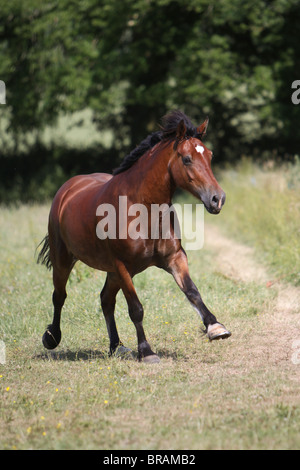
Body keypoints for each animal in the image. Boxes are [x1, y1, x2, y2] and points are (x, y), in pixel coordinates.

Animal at [37, 111, 230, 364]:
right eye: (187, 159)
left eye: (209, 155)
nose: (218, 199)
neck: (142, 208)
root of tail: (67, 189)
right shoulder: (122, 266)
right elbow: (136, 308)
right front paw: (147, 351)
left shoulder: (174, 258)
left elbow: (192, 291)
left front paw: (215, 327)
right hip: (65, 259)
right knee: (59, 296)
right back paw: (51, 338)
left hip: (113, 272)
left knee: (106, 300)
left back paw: (116, 346)